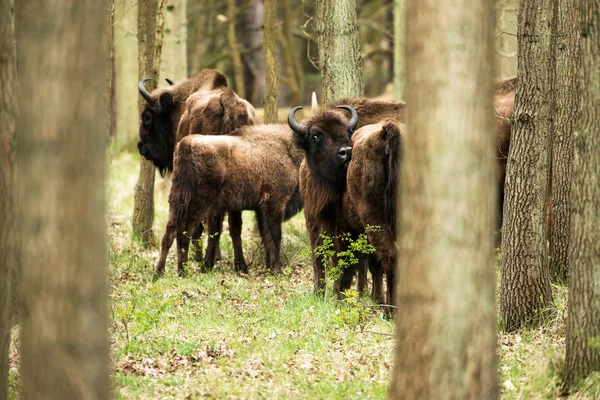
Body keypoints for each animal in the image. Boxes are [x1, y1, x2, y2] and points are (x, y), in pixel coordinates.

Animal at [155, 126, 304, 278]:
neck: (288, 151)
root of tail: (187, 143)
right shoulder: (275, 204)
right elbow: (274, 236)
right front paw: (277, 270)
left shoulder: (257, 210)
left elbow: (263, 236)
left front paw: (268, 269)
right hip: (200, 201)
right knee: (184, 232)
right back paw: (182, 272)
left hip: (177, 199)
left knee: (169, 232)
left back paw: (159, 272)